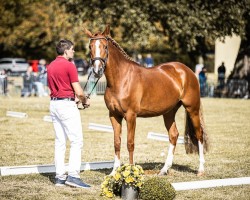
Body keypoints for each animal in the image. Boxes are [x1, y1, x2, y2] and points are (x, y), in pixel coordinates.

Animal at [85, 25, 208, 177]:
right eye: (90, 47)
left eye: (105, 46)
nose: (97, 70)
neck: (121, 79)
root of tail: (187, 71)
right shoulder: (114, 115)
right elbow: (117, 143)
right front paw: (114, 172)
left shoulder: (131, 116)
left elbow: (130, 143)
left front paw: (131, 172)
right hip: (169, 112)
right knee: (173, 135)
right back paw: (164, 169)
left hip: (192, 109)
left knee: (199, 134)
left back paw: (200, 170)